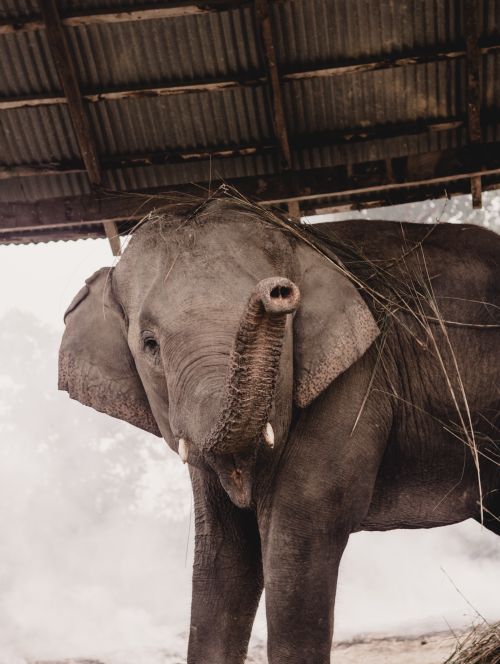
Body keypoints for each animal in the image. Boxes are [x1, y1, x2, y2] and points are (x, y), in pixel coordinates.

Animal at [59, 194, 500, 664]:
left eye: (287, 322)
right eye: (150, 344)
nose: (277, 291)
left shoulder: (357, 381)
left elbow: (298, 531)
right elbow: (223, 549)